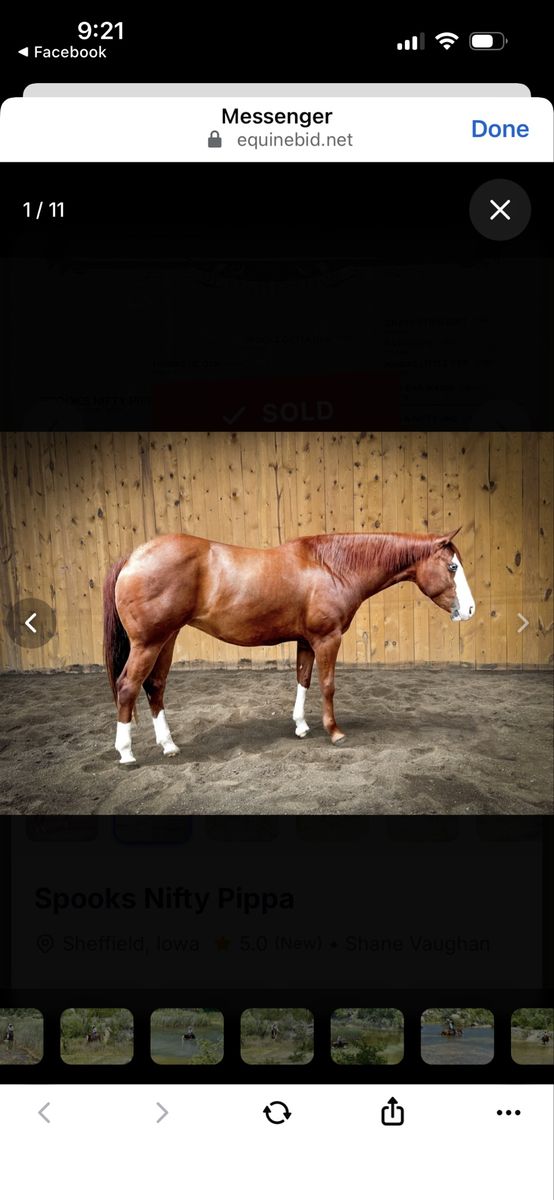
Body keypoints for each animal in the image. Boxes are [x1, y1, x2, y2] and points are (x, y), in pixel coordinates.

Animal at [103, 528, 475, 764]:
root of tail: (132, 557)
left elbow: (303, 680)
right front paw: (334, 732)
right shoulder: (327, 638)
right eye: (452, 566)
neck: (331, 566)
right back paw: (126, 753)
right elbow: (327, 684)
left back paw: (168, 745)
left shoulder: (306, 641)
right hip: (148, 643)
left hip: (166, 639)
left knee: (155, 686)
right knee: (128, 686)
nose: (470, 610)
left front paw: (301, 726)